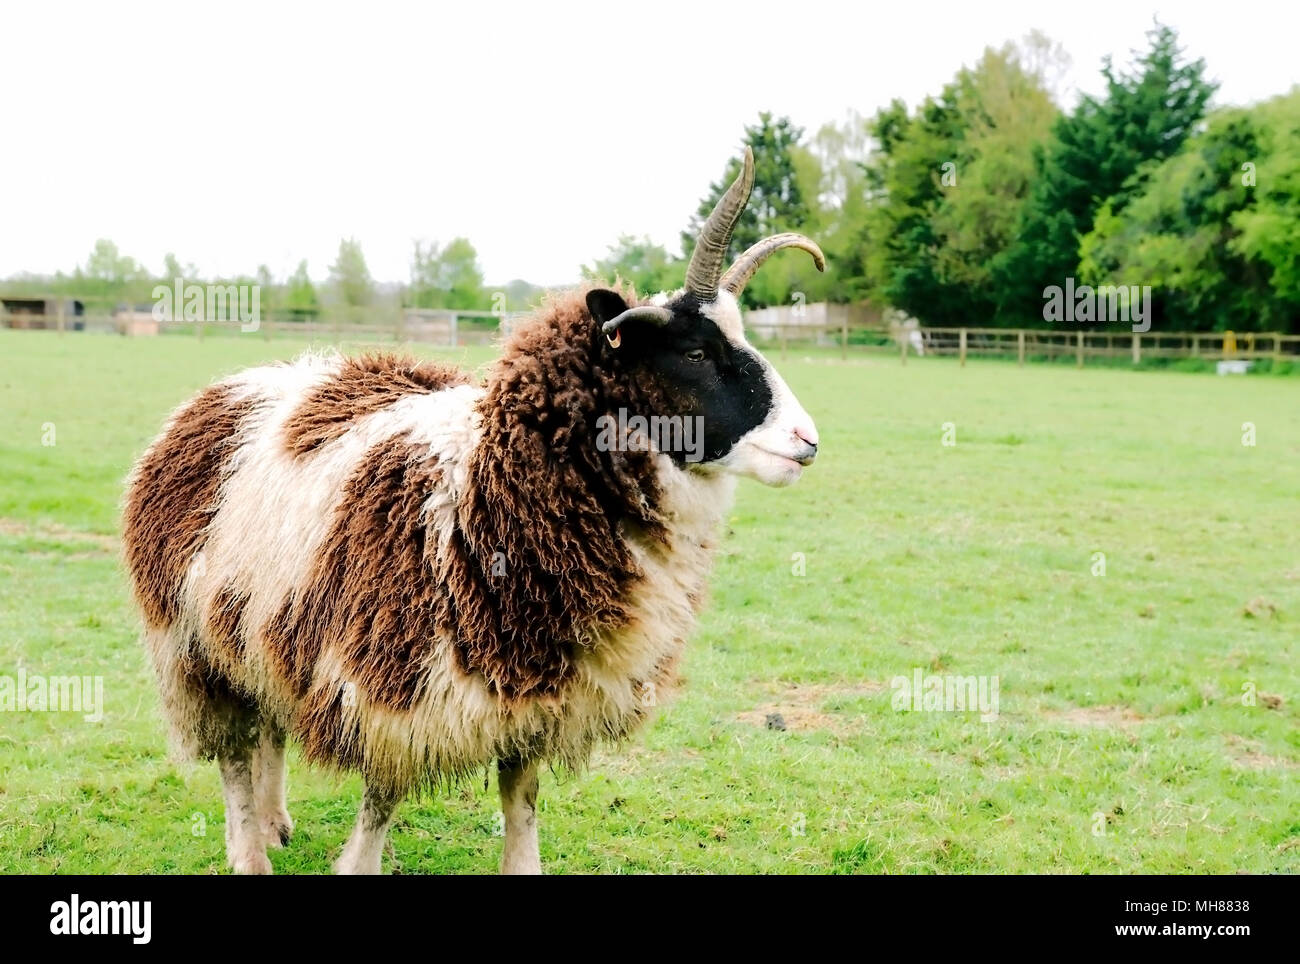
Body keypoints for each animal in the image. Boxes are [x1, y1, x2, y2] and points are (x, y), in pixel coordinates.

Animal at [122, 147, 824, 874]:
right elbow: (380, 801)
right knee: (234, 755)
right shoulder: (395, 689)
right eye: (694, 351)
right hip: (193, 648)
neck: (494, 483)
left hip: (258, 634)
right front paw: (358, 862)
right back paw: (249, 849)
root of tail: (222, 390)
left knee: (268, 732)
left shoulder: (536, 690)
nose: (807, 440)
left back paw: (274, 820)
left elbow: (522, 797)